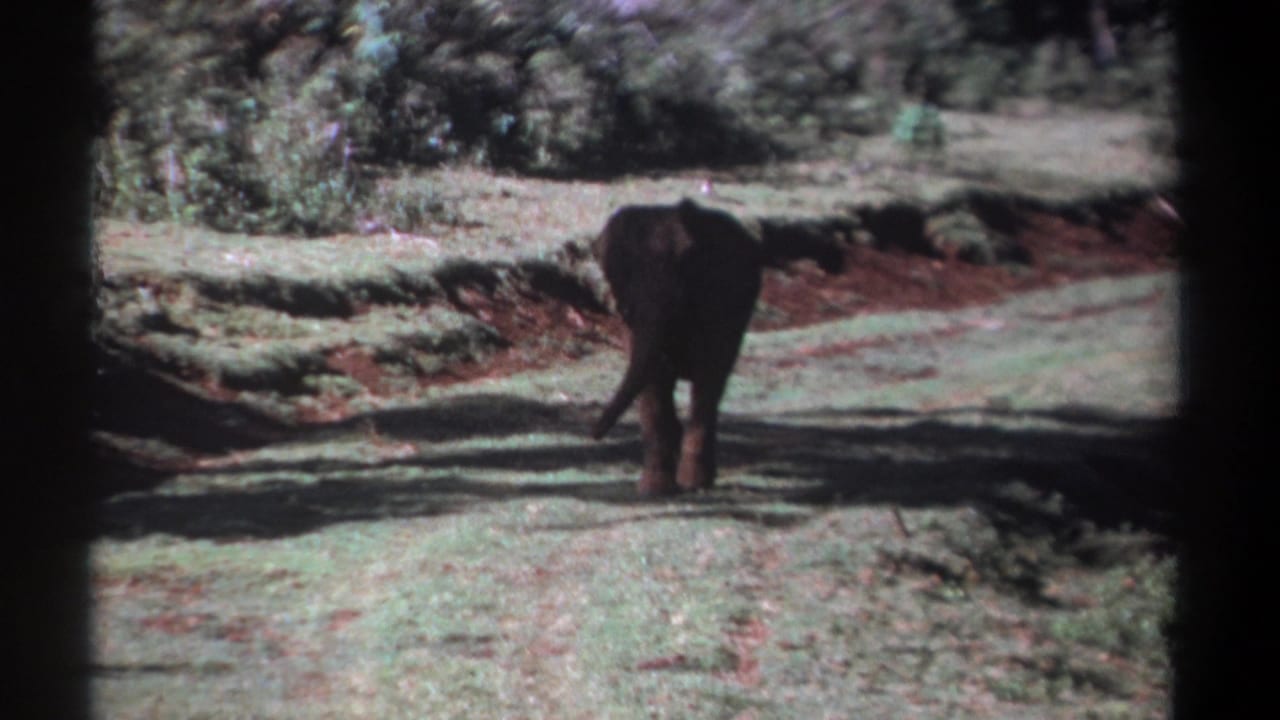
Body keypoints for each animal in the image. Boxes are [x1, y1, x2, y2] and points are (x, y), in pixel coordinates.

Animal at [590, 198, 763, 496]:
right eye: (620, 275)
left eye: (686, 264)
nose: (592, 433)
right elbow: (653, 378)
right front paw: (655, 489)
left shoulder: (719, 300)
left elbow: (708, 375)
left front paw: (692, 484)